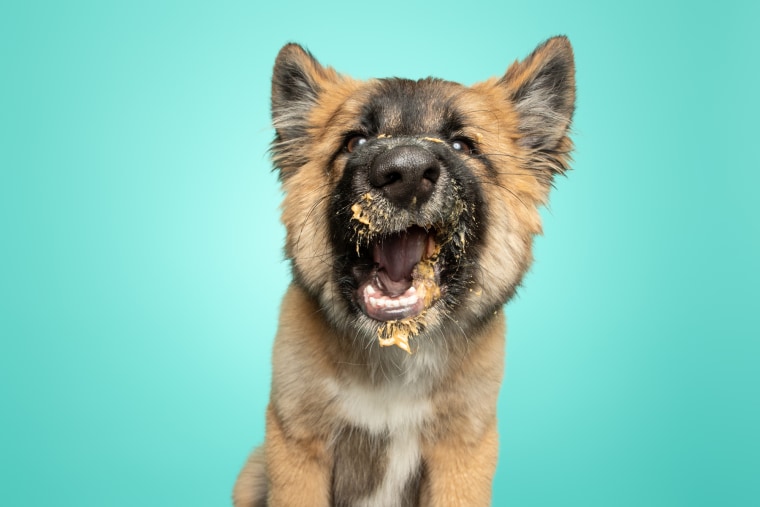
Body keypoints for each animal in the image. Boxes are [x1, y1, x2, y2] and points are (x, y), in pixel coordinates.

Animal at [235, 36, 572, 507]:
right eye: (355, 141)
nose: (407, 173)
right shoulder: (297, 442)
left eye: (462, 146)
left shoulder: (462, 452)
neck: (395, 359)